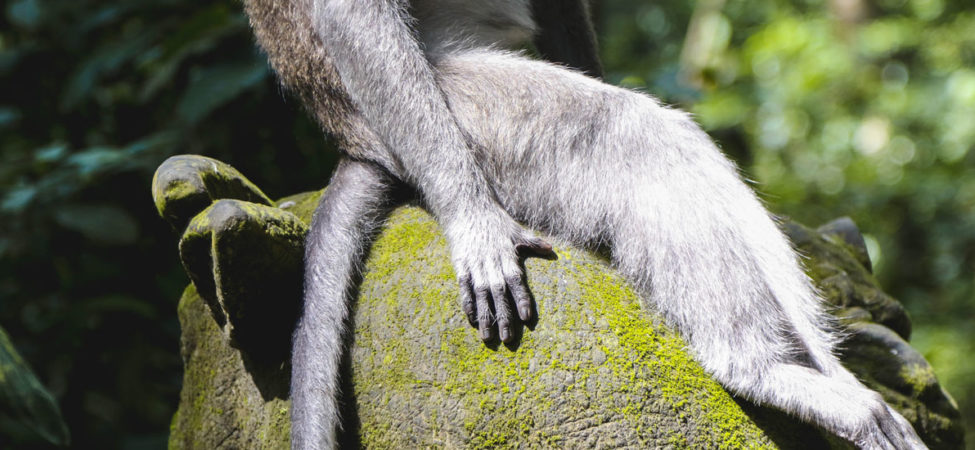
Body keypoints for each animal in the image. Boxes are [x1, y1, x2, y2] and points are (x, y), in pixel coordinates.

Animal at [240, 0, 928, 450]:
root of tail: (355, 137)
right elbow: (351, 10)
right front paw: (472, 221)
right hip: (458, 114)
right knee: (627, 133)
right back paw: (755, 369)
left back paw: (825, 374)